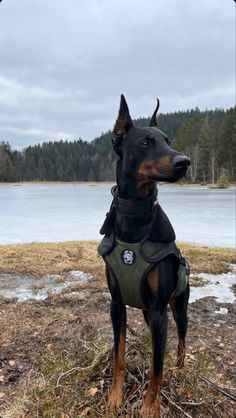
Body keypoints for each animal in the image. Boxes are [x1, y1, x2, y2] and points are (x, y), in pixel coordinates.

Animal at [97, 95, 190, 418]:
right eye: (146, 142)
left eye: (168, 141)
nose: (184, 162)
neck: (135, 222)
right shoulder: (116, 304)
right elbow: (119, 356)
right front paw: (114, 398)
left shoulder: (161, 309)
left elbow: (157, 368)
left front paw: (151, 406)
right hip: (149, 313)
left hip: (178, 308)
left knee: (181, 343)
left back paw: (180, 370)